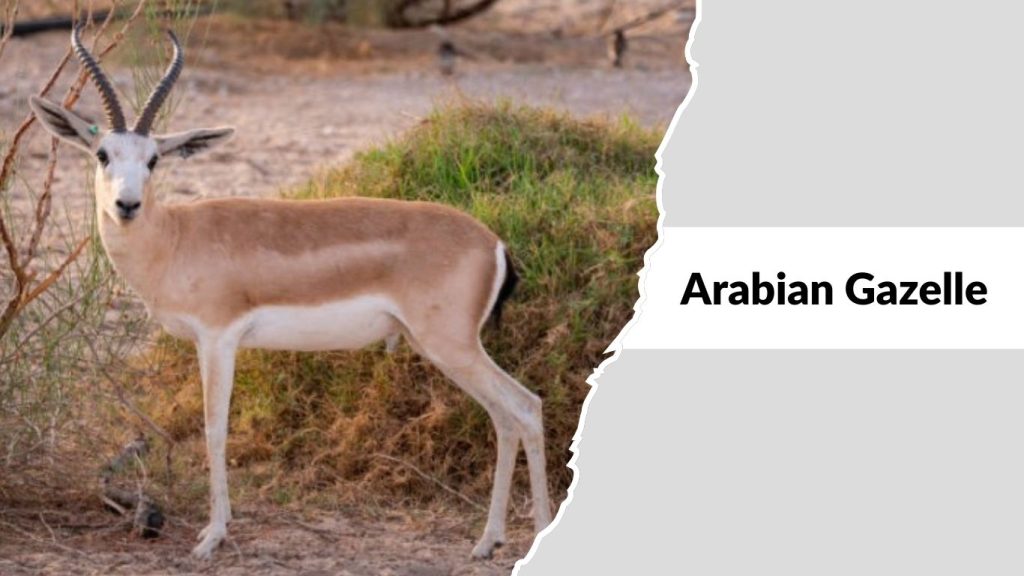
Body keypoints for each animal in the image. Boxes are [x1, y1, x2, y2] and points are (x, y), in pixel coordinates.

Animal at [30, 27, 552, 560]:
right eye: (102, 155)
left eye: (153, 159)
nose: (127, 205)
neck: (175, 238)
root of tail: (494, 243)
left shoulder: (218, 339)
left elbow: (215, 429)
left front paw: (212, 537)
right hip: (444, 349)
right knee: (504, 417)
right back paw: (488, 541)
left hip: (452, 346)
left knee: (526, 407)